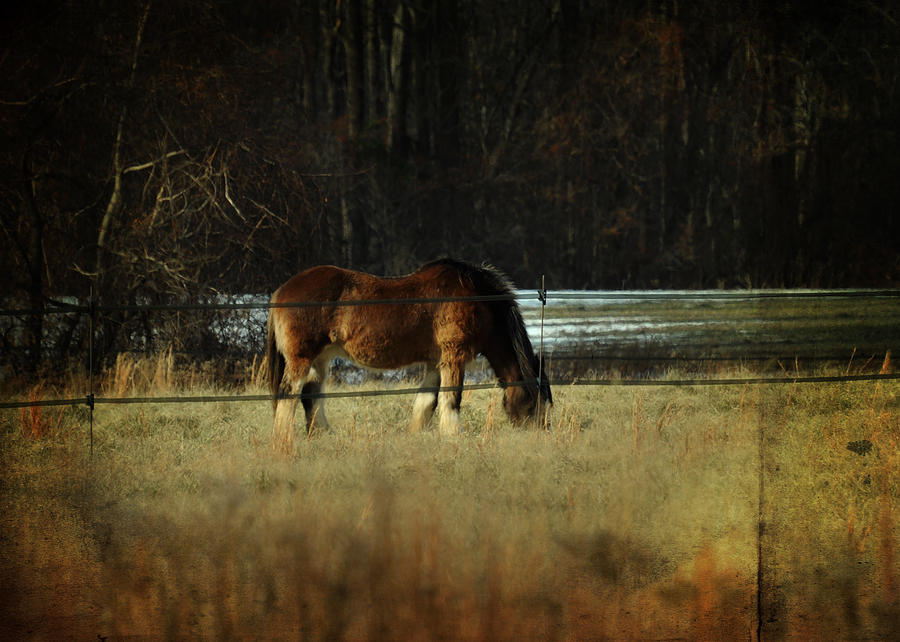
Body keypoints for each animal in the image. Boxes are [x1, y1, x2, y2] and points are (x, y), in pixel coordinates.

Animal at [264, 255, 552, 444]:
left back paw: (323, 436)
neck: (477, 298)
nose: (542, 435)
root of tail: (280, 292)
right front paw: (453, 436)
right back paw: (284, 440)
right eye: (536, 401)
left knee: (311, 396)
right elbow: (451, 399)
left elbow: (427, 402)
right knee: (288, 393)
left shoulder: (436, 362)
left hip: (320, 359)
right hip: (301, 358)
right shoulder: (454, 357)